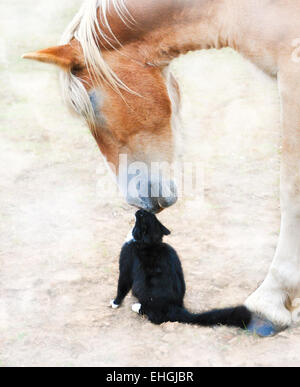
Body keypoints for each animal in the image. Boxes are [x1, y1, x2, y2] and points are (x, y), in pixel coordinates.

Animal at [111, 211, 252, 328]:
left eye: (141, 215)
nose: (138, 210)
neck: (151, 243)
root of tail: (175, 307)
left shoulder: (126, 260)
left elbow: (122, 285)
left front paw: (115, 303)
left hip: (144, 290)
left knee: (156, 318)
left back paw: (137, 306)